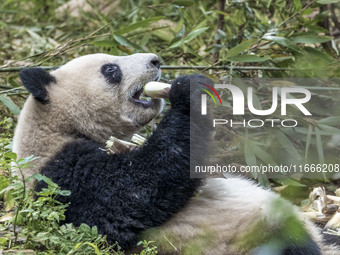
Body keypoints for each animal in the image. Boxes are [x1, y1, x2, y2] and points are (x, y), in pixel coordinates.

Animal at [12, 52, 340, 254]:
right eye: (111, 70)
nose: (156, 60)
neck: (57, 127)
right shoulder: (64, 177)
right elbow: (135, 193)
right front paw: (188, 90)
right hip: (253, 237)